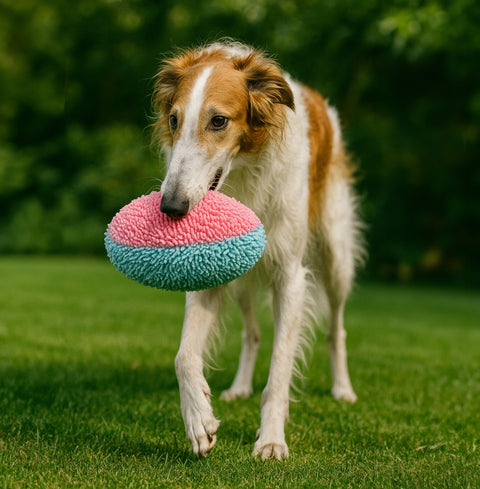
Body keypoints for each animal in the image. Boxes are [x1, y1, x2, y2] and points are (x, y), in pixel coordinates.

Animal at [152, 40, 364, 460]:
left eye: (218, 121)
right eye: (174, 119)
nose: (171, 207)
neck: (244, 171)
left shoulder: (290, 277)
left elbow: (280, 369)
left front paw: (270, 440)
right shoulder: (210, 271)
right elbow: (184, 356)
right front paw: (199, 420)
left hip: (335, 258)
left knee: (336, 329)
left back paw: (343, 389)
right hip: (241, 274)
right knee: (251, 333)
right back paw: (239, 387)